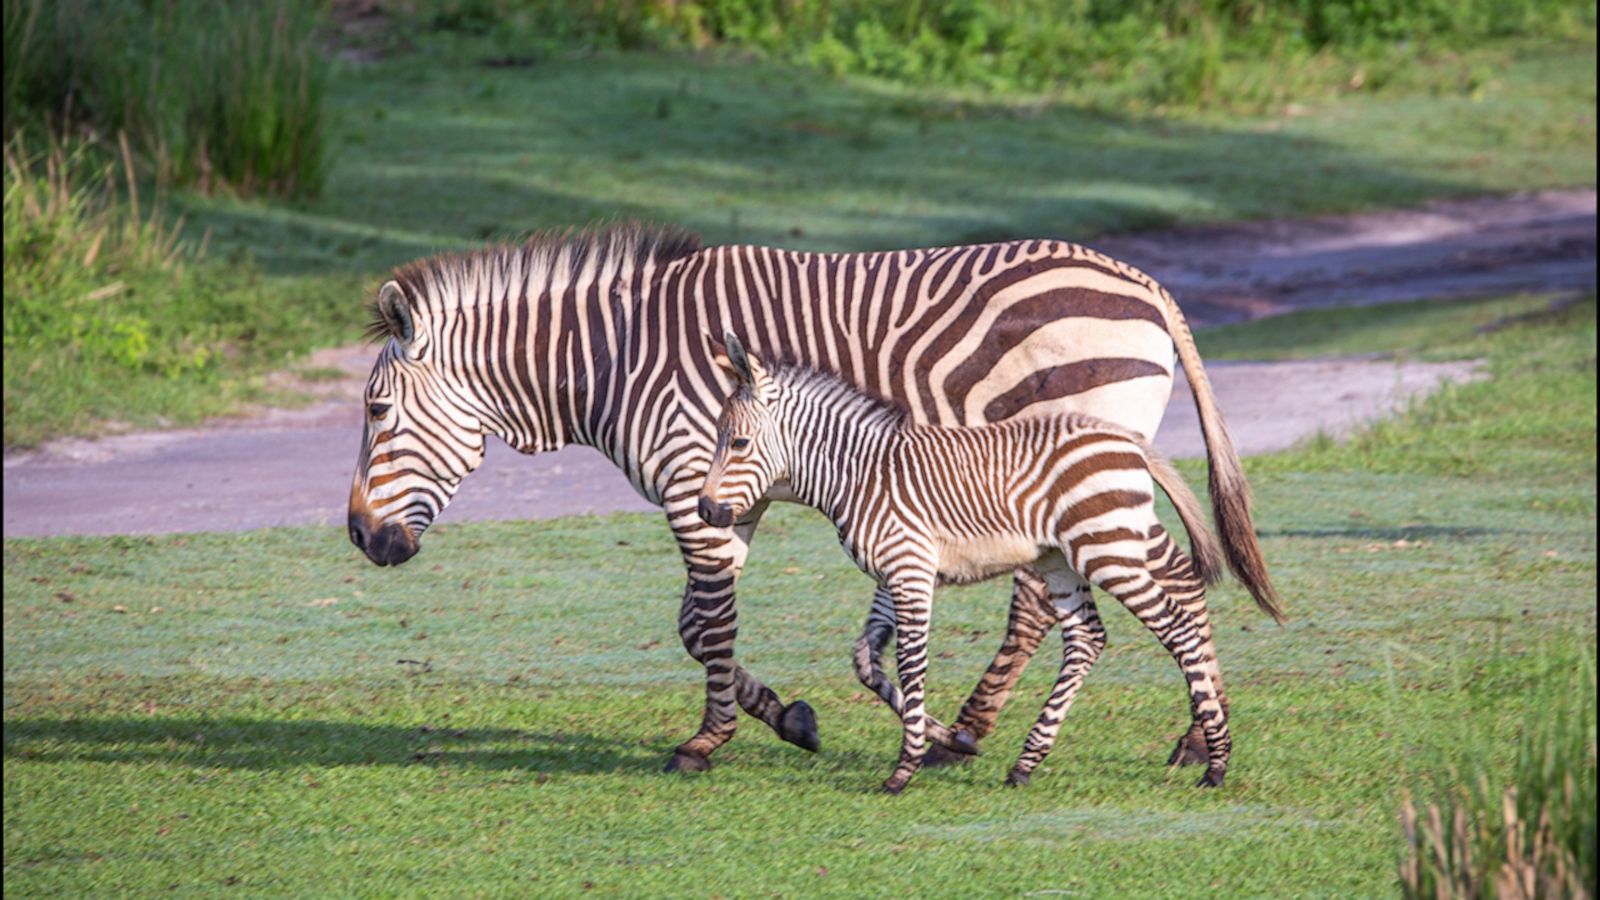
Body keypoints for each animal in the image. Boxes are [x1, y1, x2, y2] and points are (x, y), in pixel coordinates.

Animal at [700, 331, 1260, 791]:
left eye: (739, 442)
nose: (706, 510)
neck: (860, 474)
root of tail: (1125, 439)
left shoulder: (909, 570)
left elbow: (911, 664)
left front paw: (904, 769)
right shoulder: (896, 573)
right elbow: (867, 662)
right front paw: (951, 739)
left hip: (1109, 551)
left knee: (1177, 628)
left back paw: (1216, 762)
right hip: (1061, 560)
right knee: (1087, 638)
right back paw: (1026, 763)